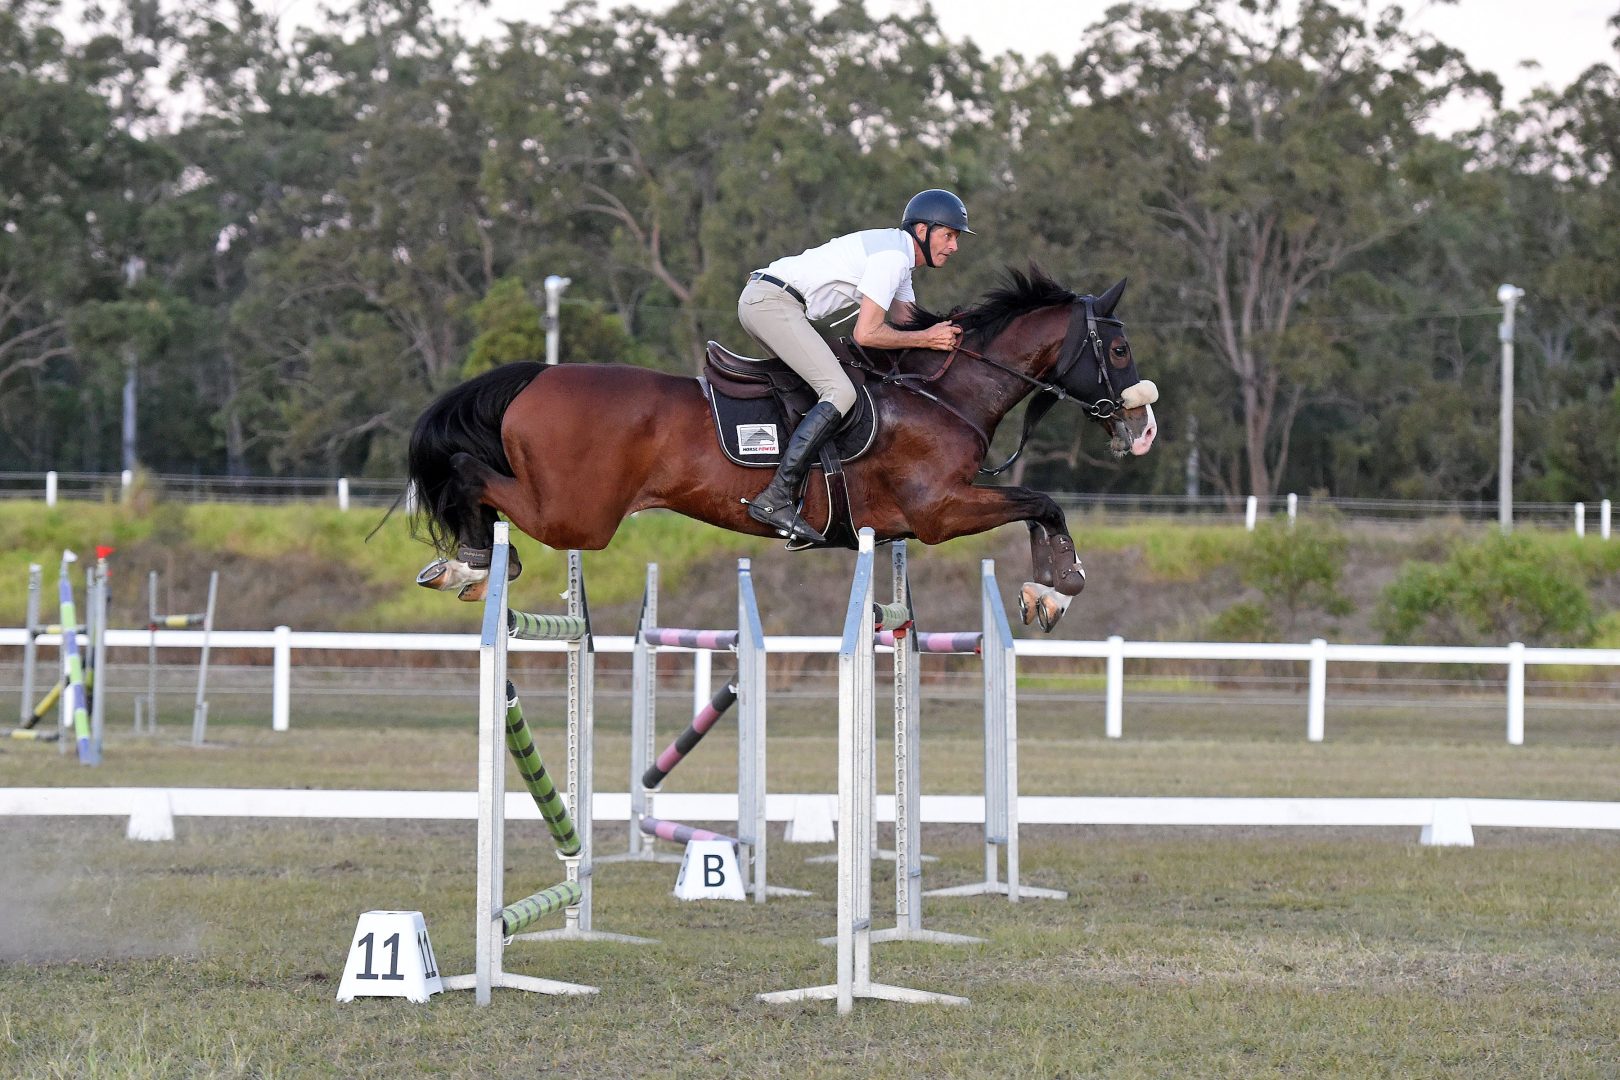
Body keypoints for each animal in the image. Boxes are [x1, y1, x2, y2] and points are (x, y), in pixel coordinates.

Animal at [411, 265, 1159, 628]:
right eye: (1120, 350)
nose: (1143, 429)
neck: (942, 390)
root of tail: (538, 375)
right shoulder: (940, 511)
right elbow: (1043, 500)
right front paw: (1059, 586)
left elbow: (1038, 504)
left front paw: (1046, 591)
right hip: (578, 515)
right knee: (471, 474)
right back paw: (469, 561)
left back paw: (471, 563)